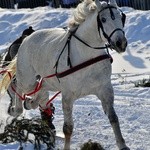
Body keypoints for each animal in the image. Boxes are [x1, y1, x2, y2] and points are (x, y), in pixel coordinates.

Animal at [7, 0, 129, 149]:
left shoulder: (105, 89)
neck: (86, 55)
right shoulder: (68, 96)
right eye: (104, 19)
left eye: (121, 17)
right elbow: (68, 128)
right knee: (17, 87)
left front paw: (122, 145)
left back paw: (31, 102)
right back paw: (16, 108)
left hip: (48, 81)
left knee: (41, 88)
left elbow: (113, 118)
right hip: (27, 79)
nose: (121, 43)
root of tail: (26, 38)